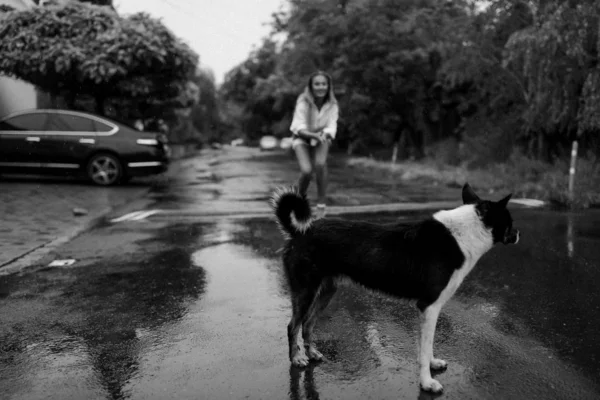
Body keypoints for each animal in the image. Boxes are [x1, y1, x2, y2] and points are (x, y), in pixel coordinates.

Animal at [272, 183, 520, 392]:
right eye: (510, 221)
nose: (518, 234)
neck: (463, 234)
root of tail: (298, 231)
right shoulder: (429, 306)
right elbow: (424, 348)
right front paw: (427, 382)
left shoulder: (429, 310)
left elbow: (427, 346)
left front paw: (432, 364)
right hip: (305, 292)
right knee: (293, 325)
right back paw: (297, 358)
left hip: (326, 292)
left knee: (308, 323)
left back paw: (311, 352)